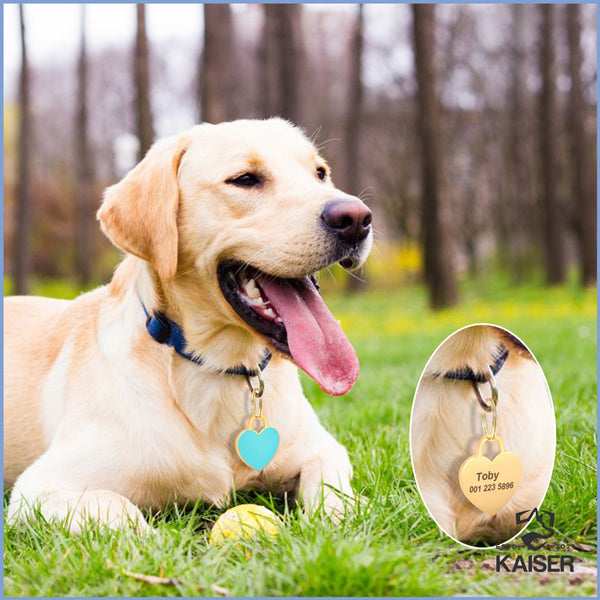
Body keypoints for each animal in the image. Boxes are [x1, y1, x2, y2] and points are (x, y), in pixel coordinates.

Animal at [3, 117, 370, 528]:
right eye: (245, 179)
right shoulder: (39, 488)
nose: (357, 218)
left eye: (320, 173)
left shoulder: (321, 447)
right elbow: (120, 509)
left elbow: (334, 492)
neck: (222, 368)